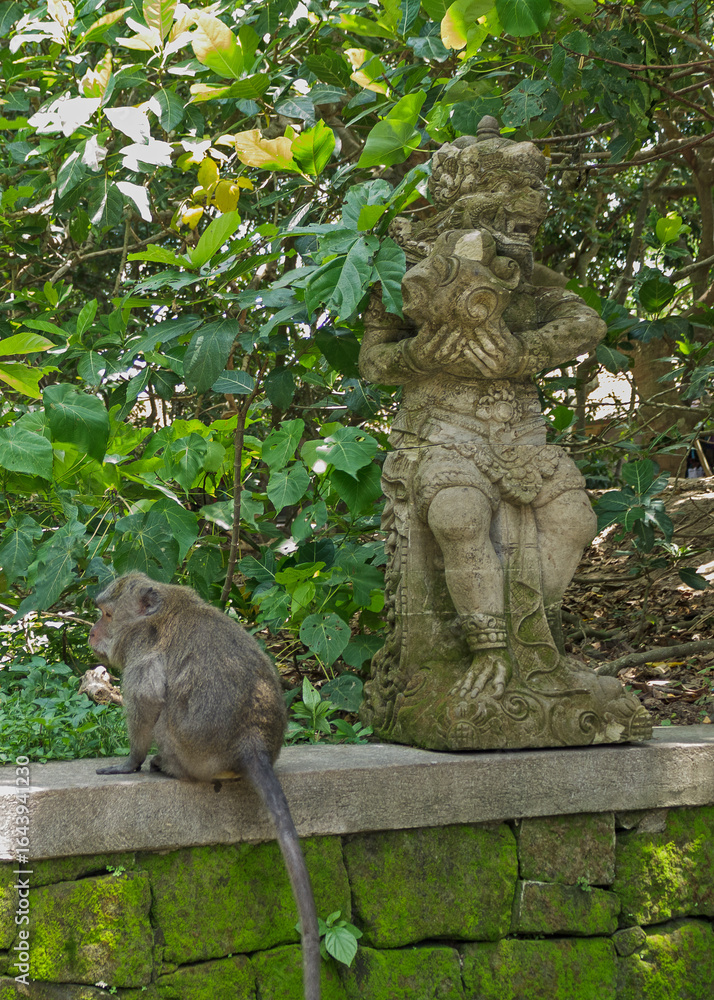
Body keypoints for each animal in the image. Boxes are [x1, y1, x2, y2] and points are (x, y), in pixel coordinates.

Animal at [88, 571, 321, 1000]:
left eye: (108, 614)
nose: (94, 631)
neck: (165, 610)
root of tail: (252, 742)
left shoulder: (144, 651)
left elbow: (146, 698)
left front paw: (129, 762)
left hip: (191, 748)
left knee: (162, 715)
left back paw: (166, 766)